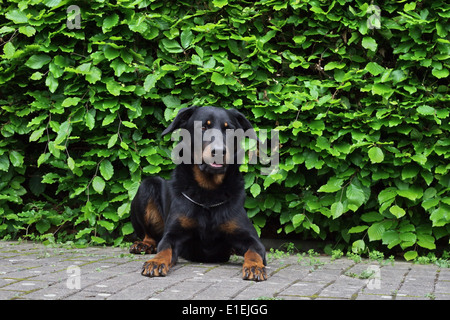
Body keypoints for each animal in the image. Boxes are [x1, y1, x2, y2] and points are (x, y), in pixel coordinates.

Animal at [128, 105, 266, 280]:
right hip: (147, 186)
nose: (219, 151)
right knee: (150, 236)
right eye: (203, 127)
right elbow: (164, 248)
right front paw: (156, 262)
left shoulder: (250, 238)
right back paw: (144, 245)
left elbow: (254, 251)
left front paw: (255, 266)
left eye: (229, 129)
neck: (208, 192)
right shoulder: (174, 234)